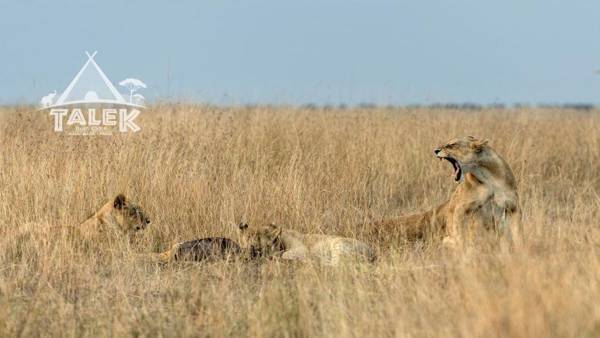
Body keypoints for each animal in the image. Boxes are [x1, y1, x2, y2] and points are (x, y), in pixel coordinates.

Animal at [238, 222, 376, 266]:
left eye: (260, 243)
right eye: (248, 238)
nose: (251, 250)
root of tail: (372, 252)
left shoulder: (302, 249)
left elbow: (284, 254)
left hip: (339, 244)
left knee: (335, 264)